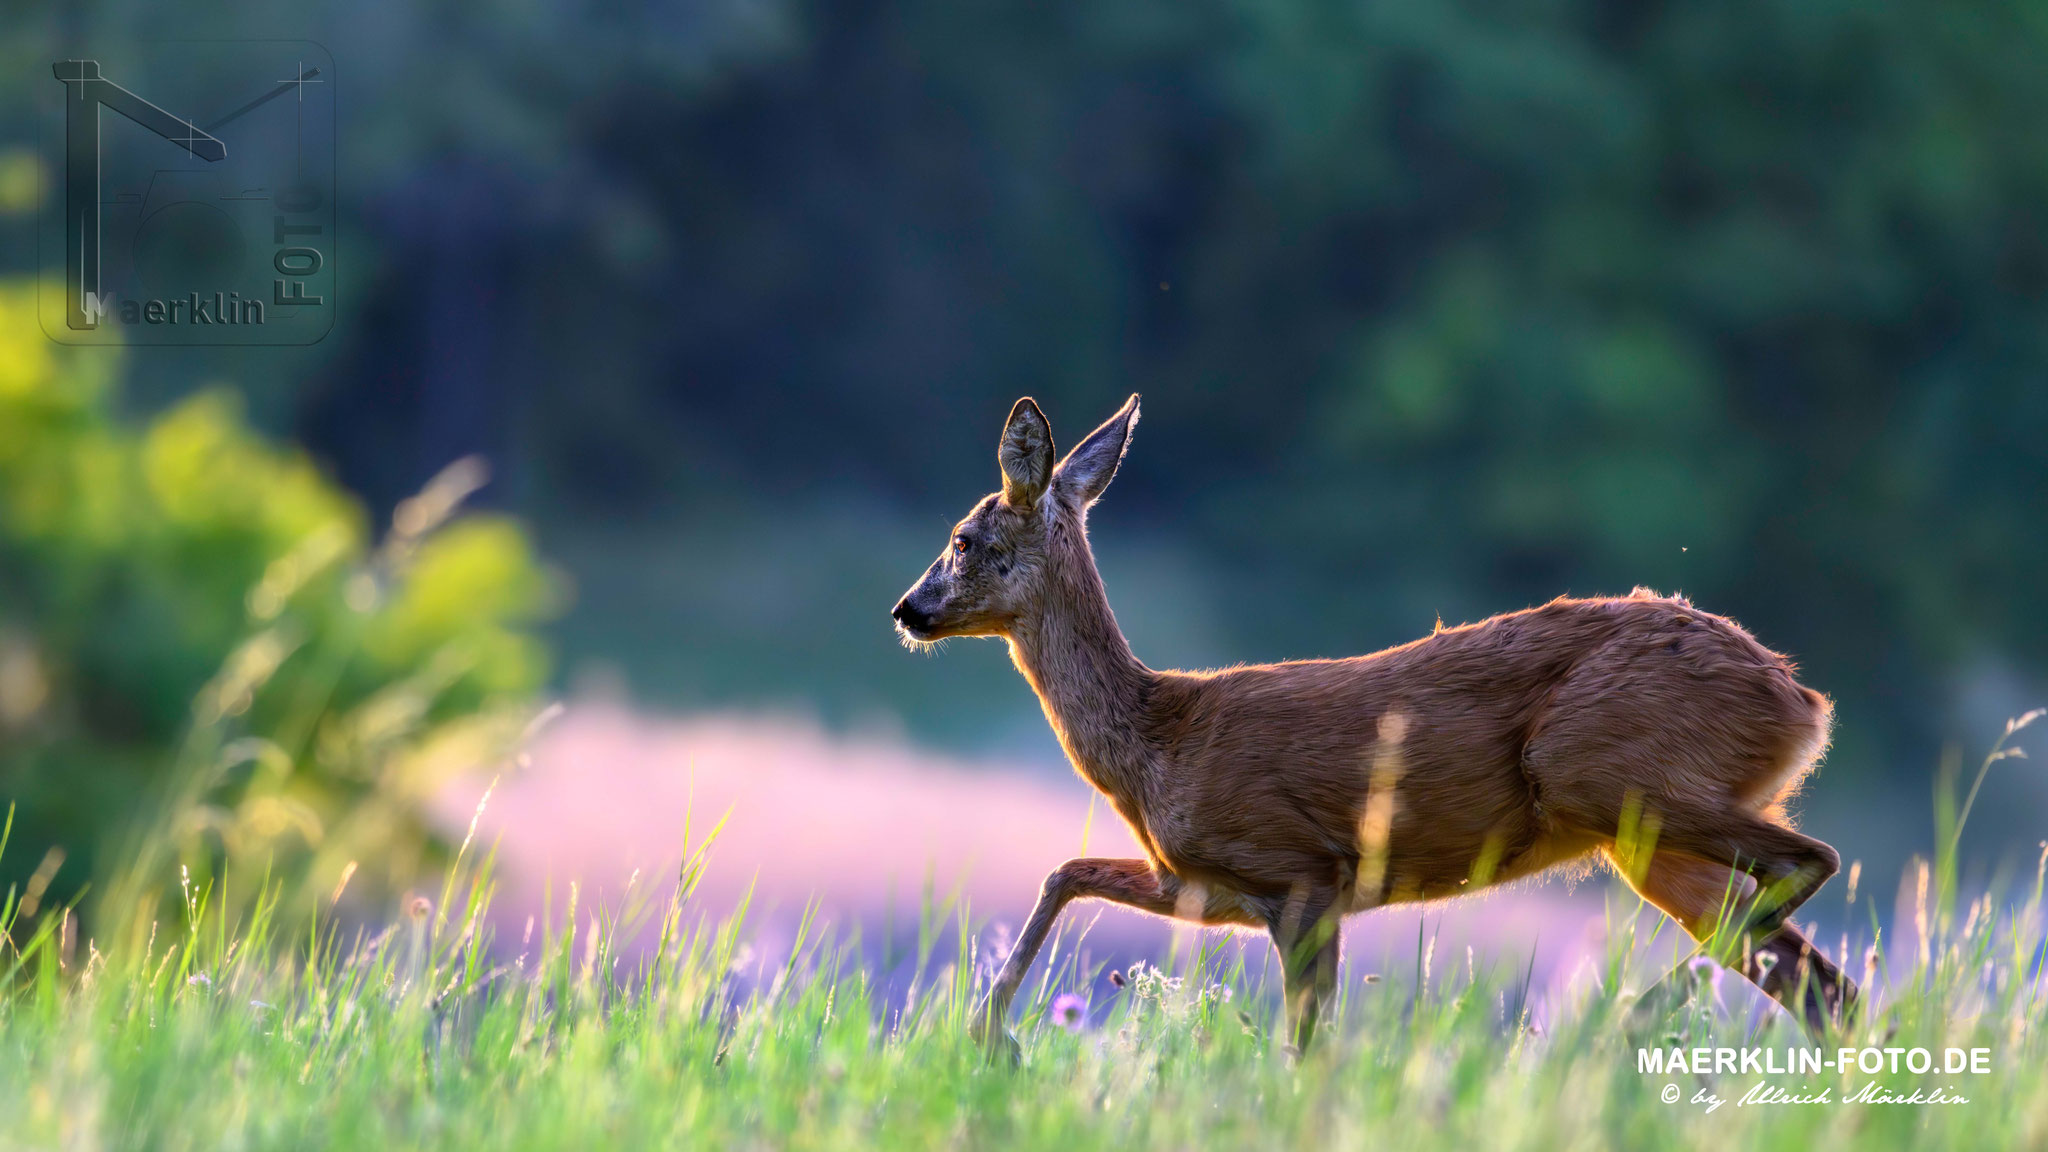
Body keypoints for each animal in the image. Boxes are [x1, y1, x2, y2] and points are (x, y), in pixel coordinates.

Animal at [890, 394, 1857, 1063]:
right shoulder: (1206, 885)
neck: (1158, 744)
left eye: (964, 539)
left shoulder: (1300, 871)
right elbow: (1066, 870)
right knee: (1820, 983)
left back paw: (1612, 1029)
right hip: (1644, 835)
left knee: (1810, 866)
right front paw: (990, 1035)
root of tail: (1803, 703)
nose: (907, 609)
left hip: (1603, 769)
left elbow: (1307, 1048)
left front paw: (994, 1037)